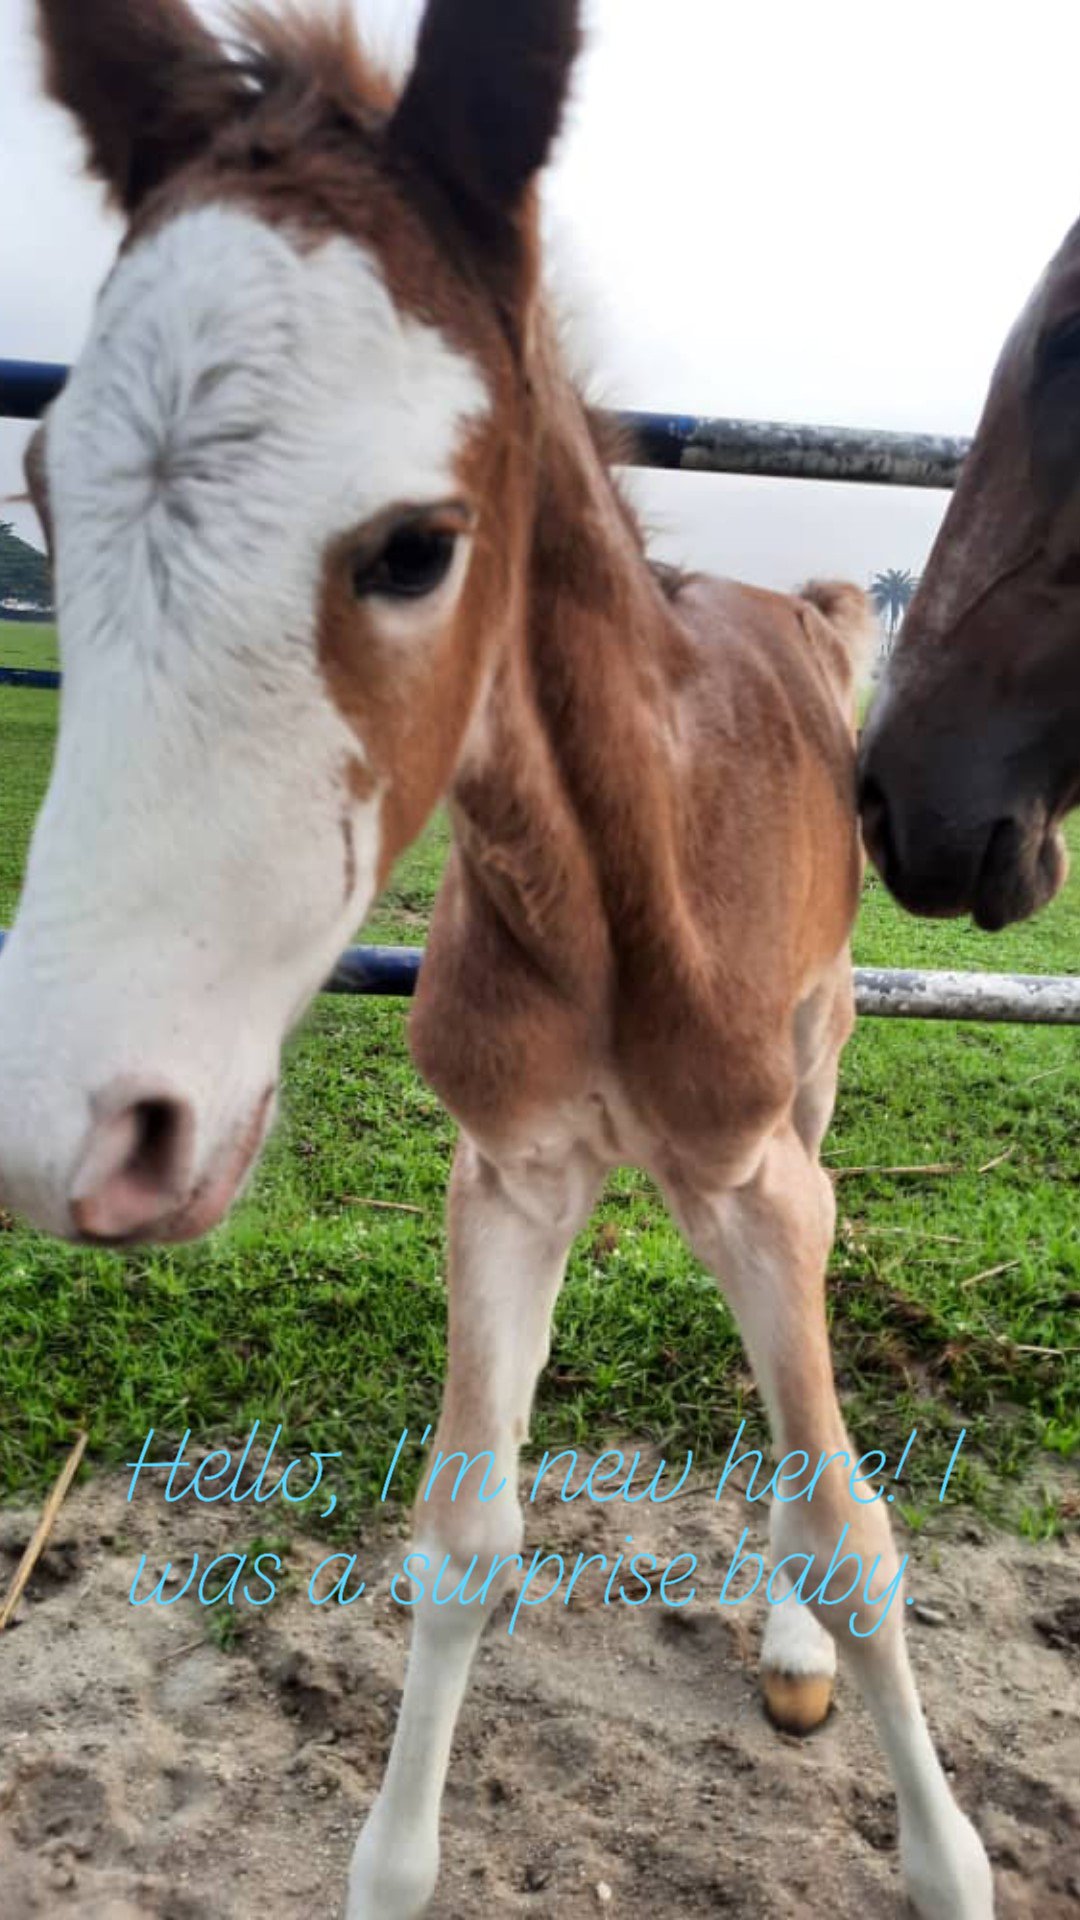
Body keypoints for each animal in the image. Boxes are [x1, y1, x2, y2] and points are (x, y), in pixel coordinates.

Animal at [0, 3, 993, 1916]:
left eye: (413, 545)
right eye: (43, 493)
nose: (73, 1128)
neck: (605, 889)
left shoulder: (755, 1178)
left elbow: (856, 1526)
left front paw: (951, 1857)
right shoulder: (506, 1176)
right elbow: (465, 1535)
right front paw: (391, 1865)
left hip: (818, 1066)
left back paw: (787, 1639)